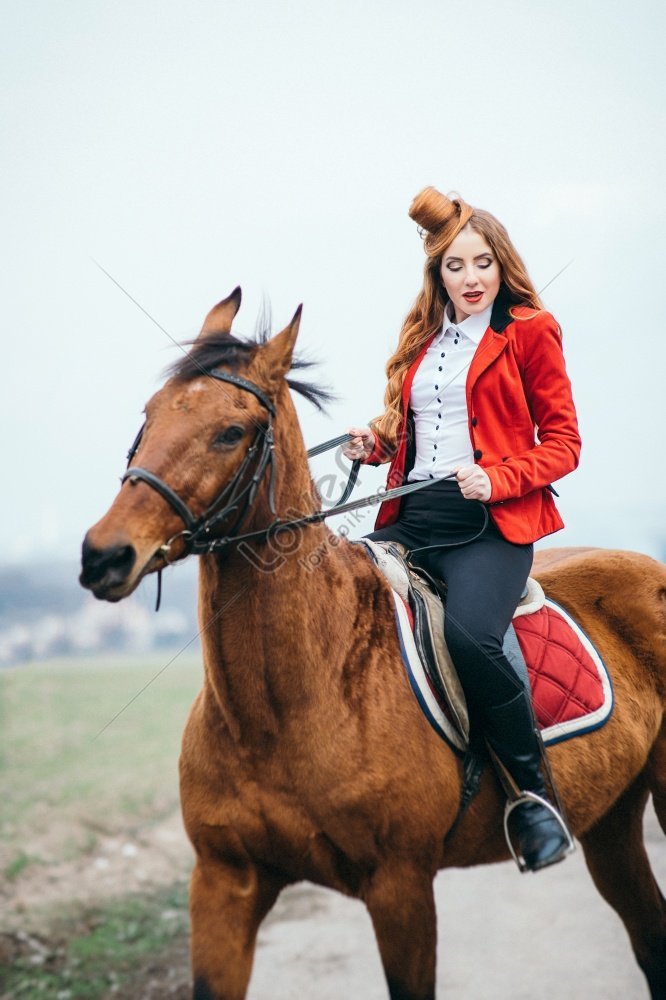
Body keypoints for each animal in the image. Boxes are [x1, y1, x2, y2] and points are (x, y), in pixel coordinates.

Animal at [80, 286, 664, 996]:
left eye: (231, 431)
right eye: (149, 415)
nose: (105, 555)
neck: (286, 705)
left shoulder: (400, 887)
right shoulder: (224, 883)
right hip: (612, 820)